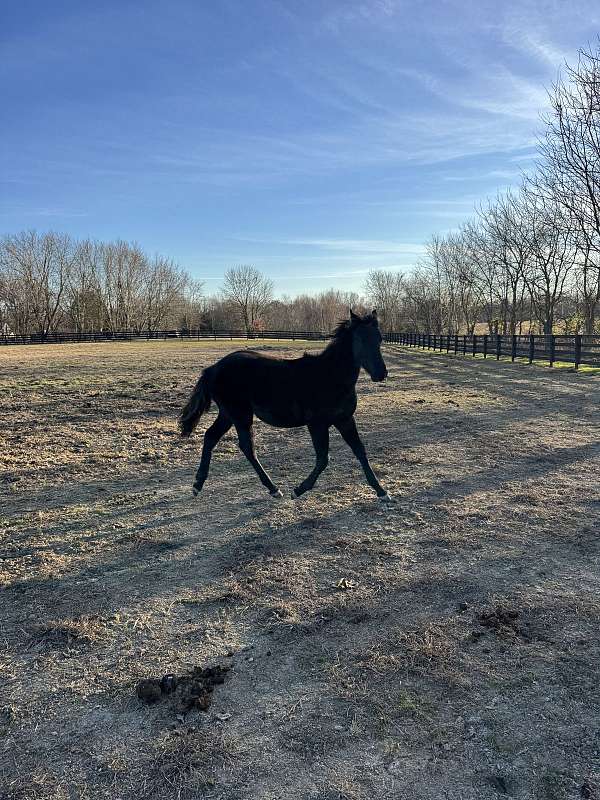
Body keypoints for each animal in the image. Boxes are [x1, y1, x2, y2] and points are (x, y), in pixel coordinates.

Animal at [179, 310, 392, 502]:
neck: (331, 376)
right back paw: (274, 489)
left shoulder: (345, 419)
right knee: (247, 447)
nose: (381, 373)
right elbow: (323, 459)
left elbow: (360, 450)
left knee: (211, 437)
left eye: (380, 339)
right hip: (240, 415)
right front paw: (298, 490)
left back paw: (198, 485)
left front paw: (381, 492)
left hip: (227, 414)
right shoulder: (317, 424)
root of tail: (213, 368)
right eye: (361, 340)